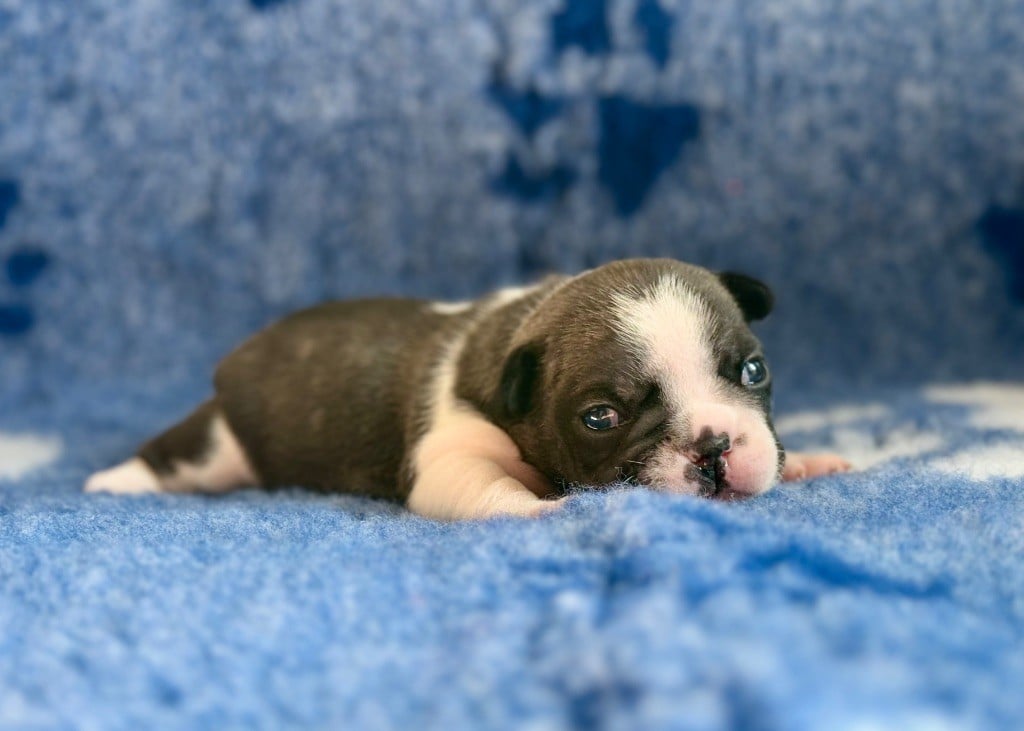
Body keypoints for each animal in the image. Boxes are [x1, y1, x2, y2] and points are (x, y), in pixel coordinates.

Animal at [85, 259, 850, 519]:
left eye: (753, 372)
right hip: (222, 444)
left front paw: (809, 462)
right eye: (600, 417)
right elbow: (488, 490)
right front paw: (548, 511)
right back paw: (115, 482)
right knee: (183, 454)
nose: (714, 446)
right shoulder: (452, 454)